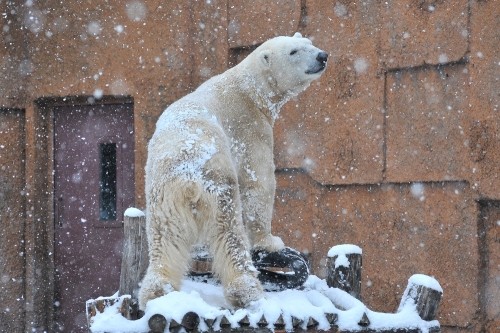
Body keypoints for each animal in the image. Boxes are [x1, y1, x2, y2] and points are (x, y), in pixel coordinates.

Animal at [140, 32, 328, 308]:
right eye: (294, 51)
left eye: (309, 43)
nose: (322, 56)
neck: (248, 88)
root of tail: (188, 180)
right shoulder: (248, 126)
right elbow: (258, 182)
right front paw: (271, 242)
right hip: (219, 190)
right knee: (230, 236)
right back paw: (246, 290)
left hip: (164, 200)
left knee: (165, 240)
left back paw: (156, 291)